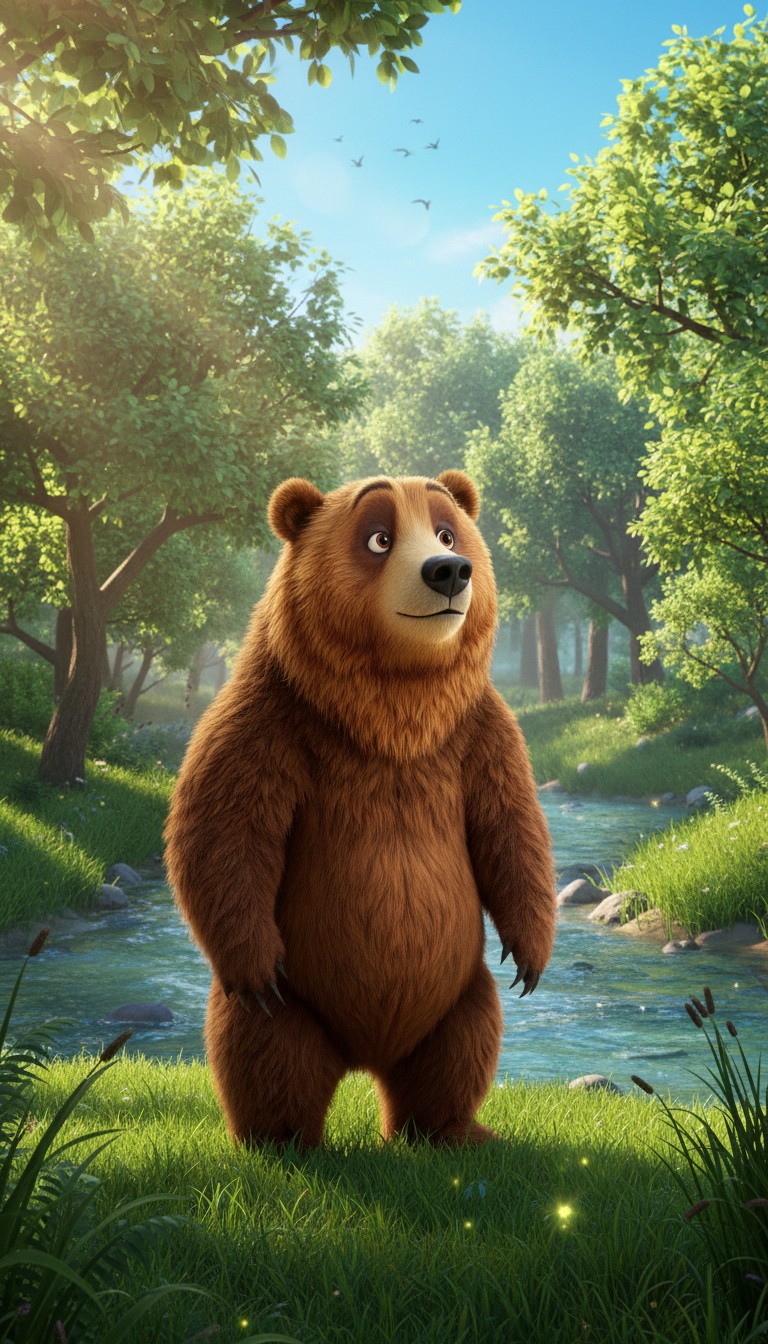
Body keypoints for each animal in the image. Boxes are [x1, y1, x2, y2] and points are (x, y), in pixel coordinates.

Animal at [164, 470, 557, 1148]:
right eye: (379, 537)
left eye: (447, 531)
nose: (448, 570)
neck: (392, 713)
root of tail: (368, 1056)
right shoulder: (272, 719)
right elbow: (224, 829)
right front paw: (254, 960)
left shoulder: (476, 733)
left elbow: (511, 825)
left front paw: (529, 957)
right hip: (299, 1000)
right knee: (265, 1048)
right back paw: (279, 1140)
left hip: (456, 988)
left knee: (462, 1047)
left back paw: (452, 1132)